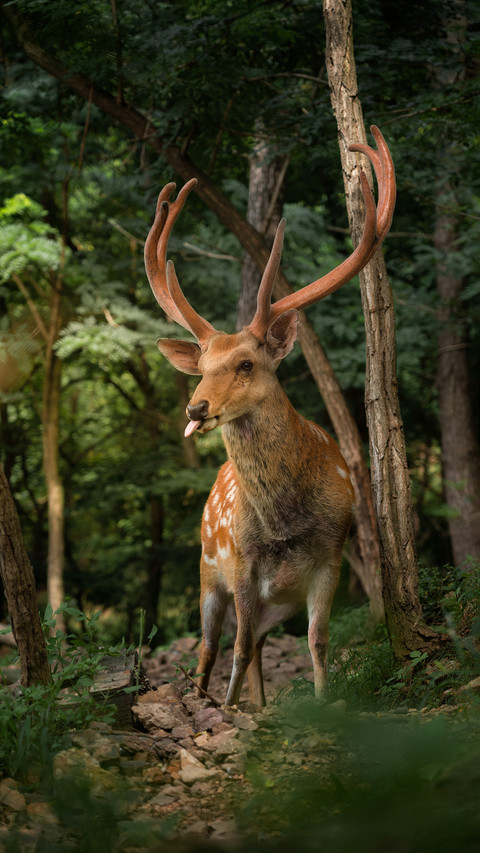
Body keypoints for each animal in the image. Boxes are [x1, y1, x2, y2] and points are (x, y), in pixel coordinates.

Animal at [144, 126, 395, 707]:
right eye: (201, 368)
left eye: (245, 363)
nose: (196, 407)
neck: (284, 526)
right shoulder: (240, 564)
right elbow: (234, 650)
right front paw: (227, 709)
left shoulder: (331, 556)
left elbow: (318, 640)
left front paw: (322, 705)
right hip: (206, 572)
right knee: (214, 647)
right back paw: (209, 698)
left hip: (270, 600)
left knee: (256, 644)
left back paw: (256, 704)